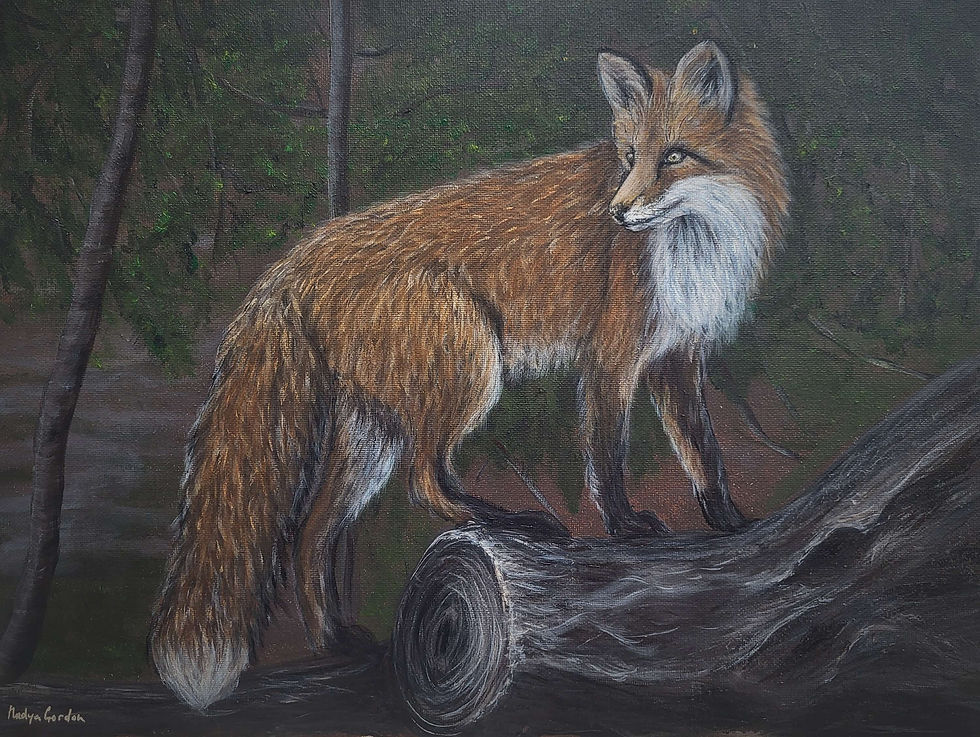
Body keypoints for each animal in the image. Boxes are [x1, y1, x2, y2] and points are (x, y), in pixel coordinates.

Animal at [150, 40, 788, 710]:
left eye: (674, 156)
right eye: (630, 157)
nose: (618, 212)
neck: (696, 248)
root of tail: (298, 259)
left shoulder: (675, 359)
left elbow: (704, 453)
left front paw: (730, 523)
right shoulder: (612, 358)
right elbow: (607, 459)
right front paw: (625, 529)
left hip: (372, 434)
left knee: (312, 534)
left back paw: (335, 641)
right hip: (471, 367)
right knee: (422, 480)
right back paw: (500, 519)